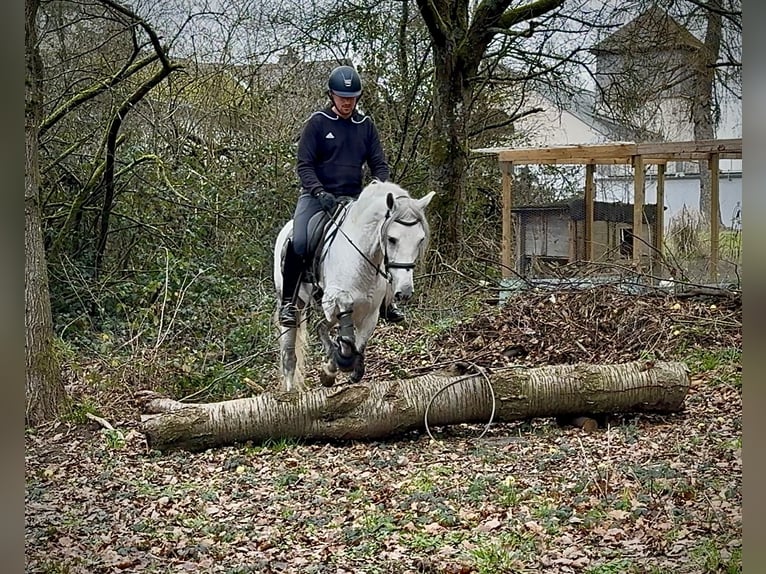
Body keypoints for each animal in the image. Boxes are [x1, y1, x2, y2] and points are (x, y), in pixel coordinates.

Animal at [272, 180, 435, 392]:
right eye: (392, 239)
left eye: (420, 239)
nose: (405, 291)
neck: (361, 259)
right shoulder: (336, 300)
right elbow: (347, 338)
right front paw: (335, 366)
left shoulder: (370, 313)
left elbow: (356, 344)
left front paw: (333, 369)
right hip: (294, 302)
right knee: (289, 355)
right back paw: (290, 391)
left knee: (321, 327)